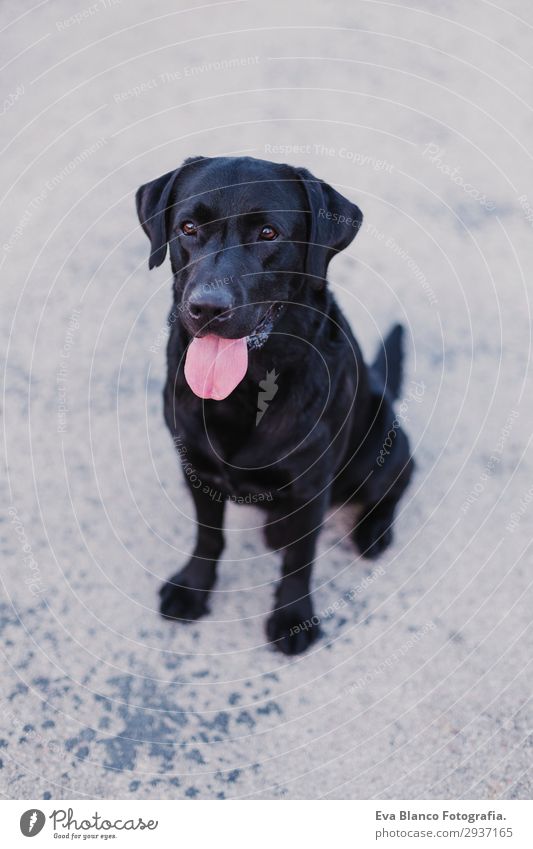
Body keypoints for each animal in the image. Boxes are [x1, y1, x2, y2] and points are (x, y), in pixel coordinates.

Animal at [136, 156, 412, 652]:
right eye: (188, 227)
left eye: (268, 233)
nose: (207, 308)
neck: (245, 390)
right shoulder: (195, 468)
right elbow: (208, 537)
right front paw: (193, 587)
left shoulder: (310, 486)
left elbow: (300, 560)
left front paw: (292, 619)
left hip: (383, 439)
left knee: (399, 478)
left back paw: (374, 530)